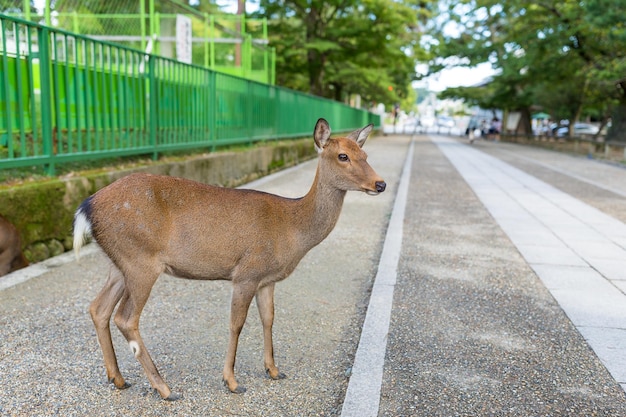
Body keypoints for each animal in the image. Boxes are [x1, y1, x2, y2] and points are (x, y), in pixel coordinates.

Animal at [73, 117, 386, 400]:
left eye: (365, 155)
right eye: (343, 156)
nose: (380, 184)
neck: (292, 230)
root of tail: (86, 208)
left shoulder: (267, 279)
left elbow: (269, 318)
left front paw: (274, 370)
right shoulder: (247, 272)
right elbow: (237, 324)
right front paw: (232, 382)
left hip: (119, 263)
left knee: (98, 308)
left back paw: (118, 378)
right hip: (140, 261)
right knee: (125, 317)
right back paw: (164, 389)